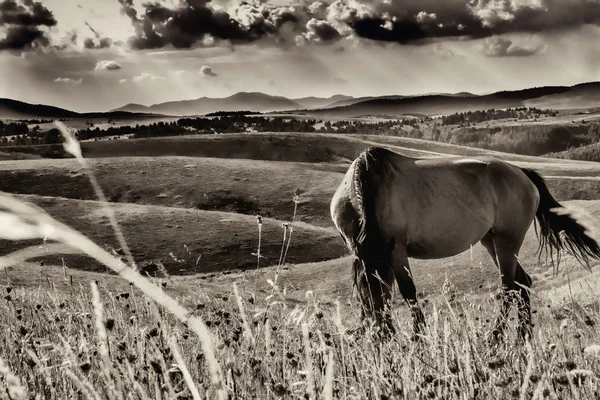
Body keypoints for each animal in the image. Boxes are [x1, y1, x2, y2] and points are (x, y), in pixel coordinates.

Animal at [330, 147, 600, 340]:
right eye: (365, 292)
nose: (382, 336)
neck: (369, 187)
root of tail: (523, 174)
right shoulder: (372, 254)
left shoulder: (395, 249)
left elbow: (407, 293)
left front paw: (419, 339)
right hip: (491, 241)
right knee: (522, 283)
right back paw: (522, 338)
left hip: (507, 241)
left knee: (508, 287)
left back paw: (495, 338)